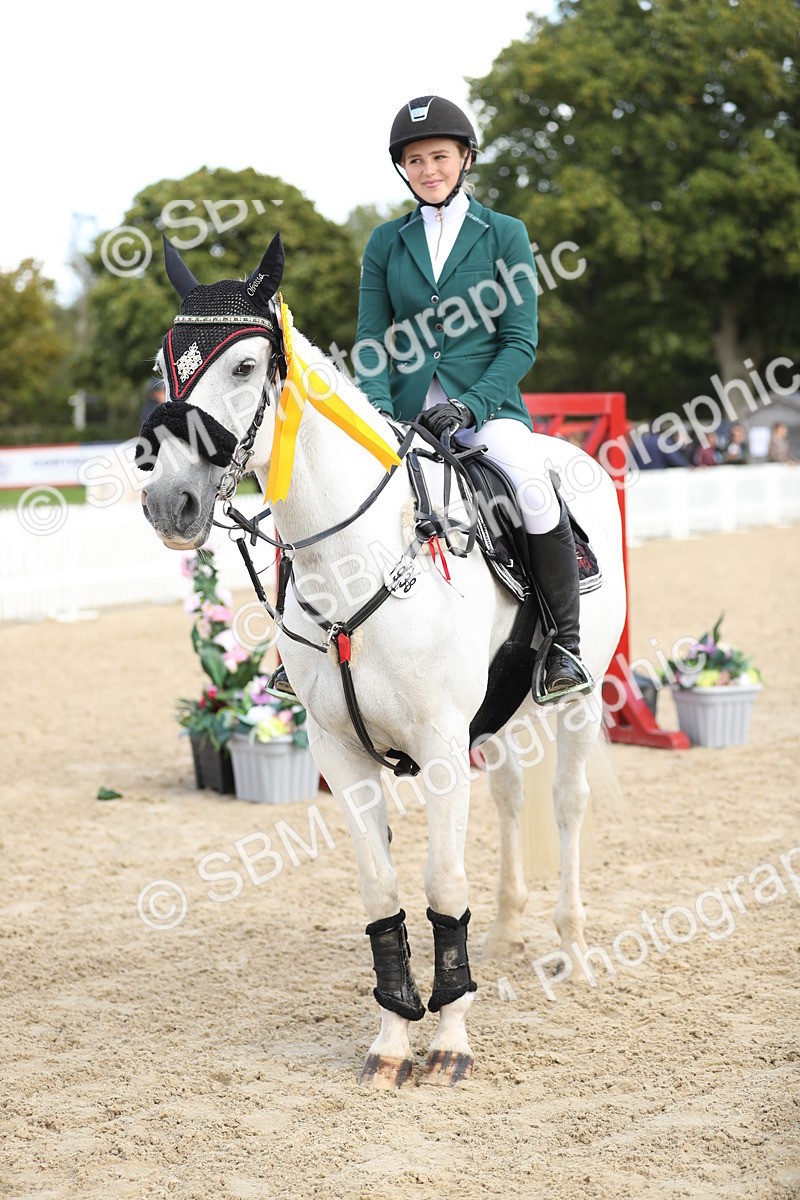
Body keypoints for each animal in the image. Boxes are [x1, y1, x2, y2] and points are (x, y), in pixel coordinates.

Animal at [139, 233, 627, 1088]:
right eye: (167, 364)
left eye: (244, 366)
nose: (172, 503)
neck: (356, 554)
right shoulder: (342, 750)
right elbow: (380, 892)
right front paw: (394, 1039)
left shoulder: (440, 743)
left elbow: (442, 881)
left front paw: (452, 1038)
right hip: (497, 717)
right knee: (509, 800)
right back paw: (506, 936)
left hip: (578, 698)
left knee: (568, 803)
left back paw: (569, 946)